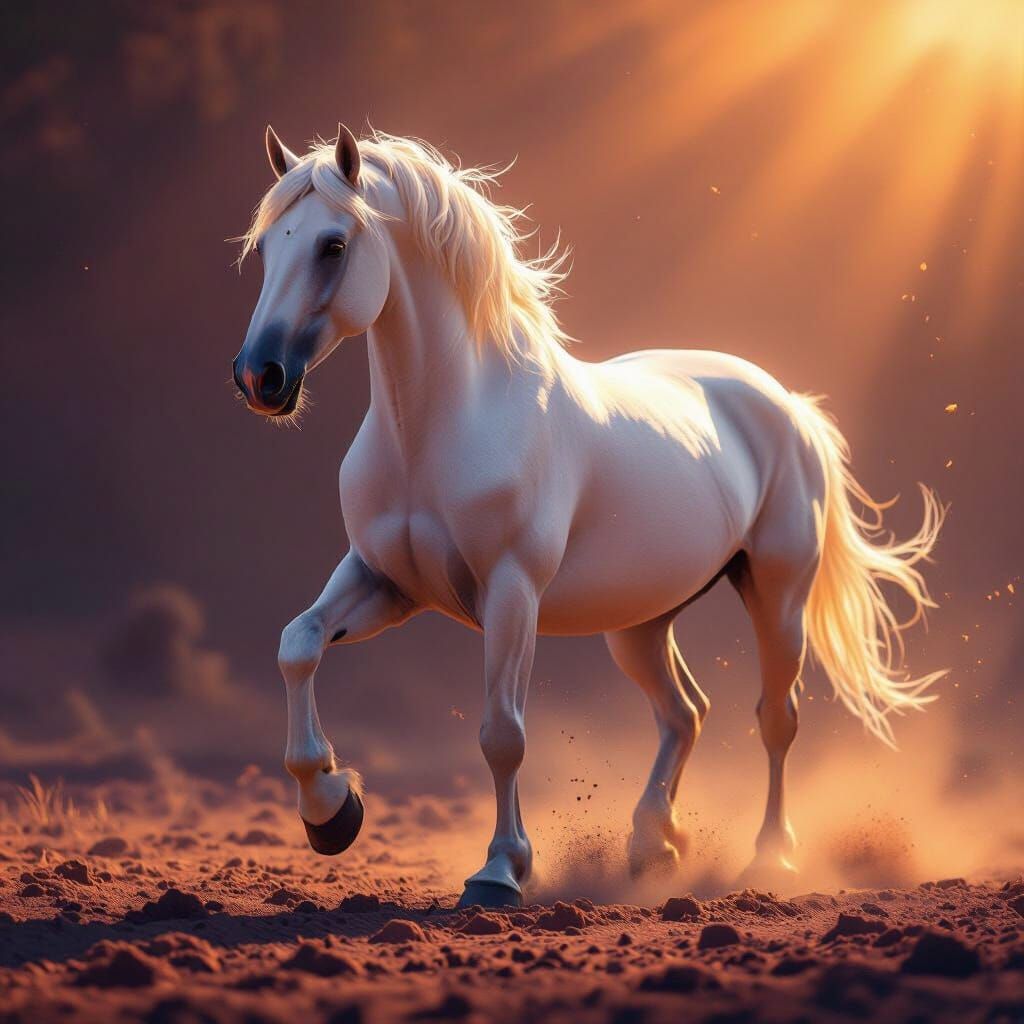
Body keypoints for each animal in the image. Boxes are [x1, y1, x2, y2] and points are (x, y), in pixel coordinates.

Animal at [231, 124, 945, 908]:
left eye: (332, 245)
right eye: (264, 250)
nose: (260, 377)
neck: (447, 424)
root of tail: (787, 404)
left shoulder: (512, 594)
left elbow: (503, 734)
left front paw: (499, 873)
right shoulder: (384, 583)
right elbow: (298, 645)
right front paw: (332, 812)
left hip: (777, 597)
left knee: (776, 720)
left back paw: (769, 860)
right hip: (639, 626)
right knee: (685, 713)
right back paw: (651, 845)